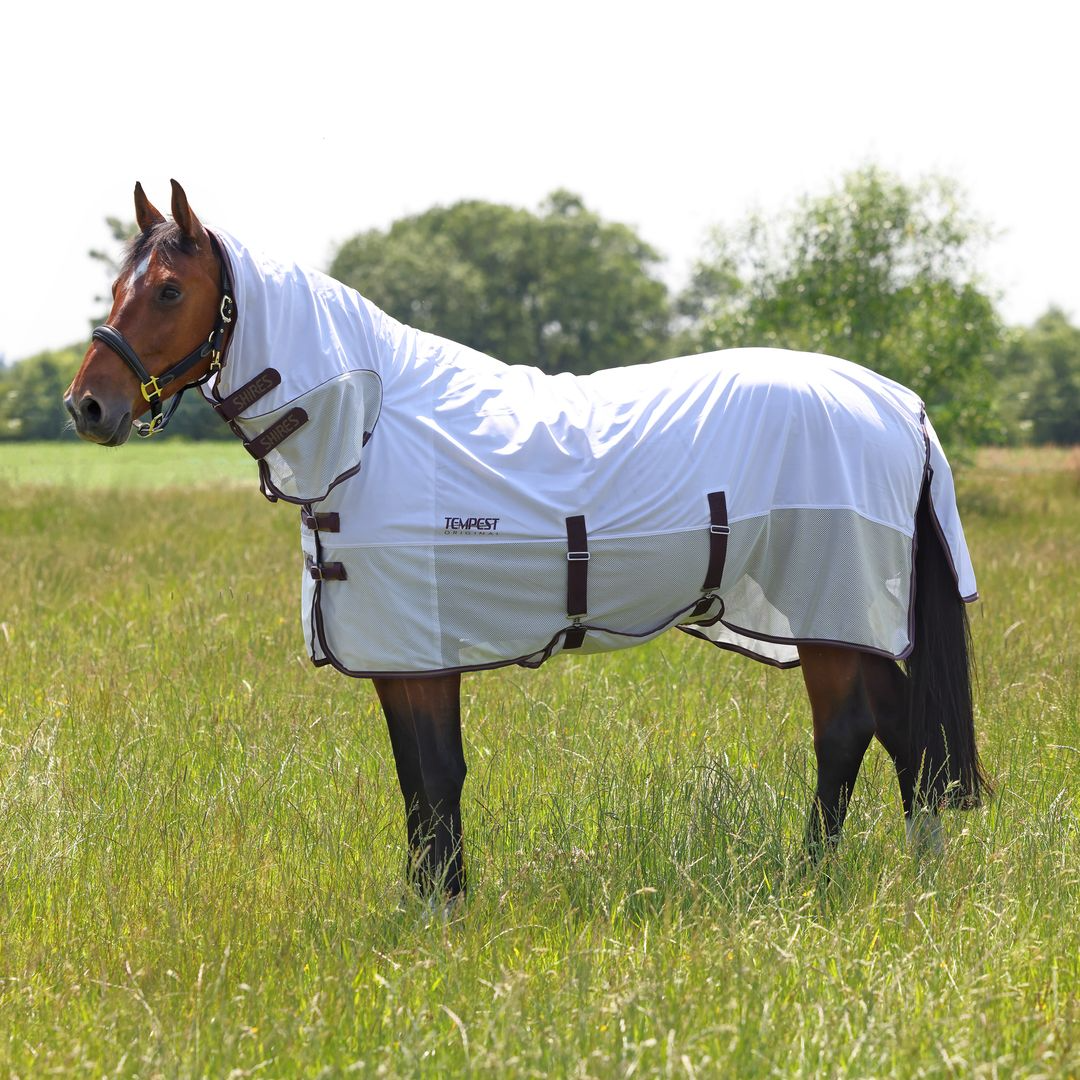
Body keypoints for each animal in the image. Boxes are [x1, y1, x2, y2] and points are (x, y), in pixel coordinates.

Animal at [65, 181, 989, 899]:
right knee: (905, 734)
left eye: (169, 291)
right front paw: (432, 903)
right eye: (113, 286)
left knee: (850, 733)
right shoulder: (402, 657)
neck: (368, 427)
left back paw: (813, 879)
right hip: (841, 621)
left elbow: (436, 778)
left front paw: (440, 914)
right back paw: (919, 875)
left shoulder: (419, 650)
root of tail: (900, 404)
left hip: (835, 612)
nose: (87, 406)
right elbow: (419, 783)